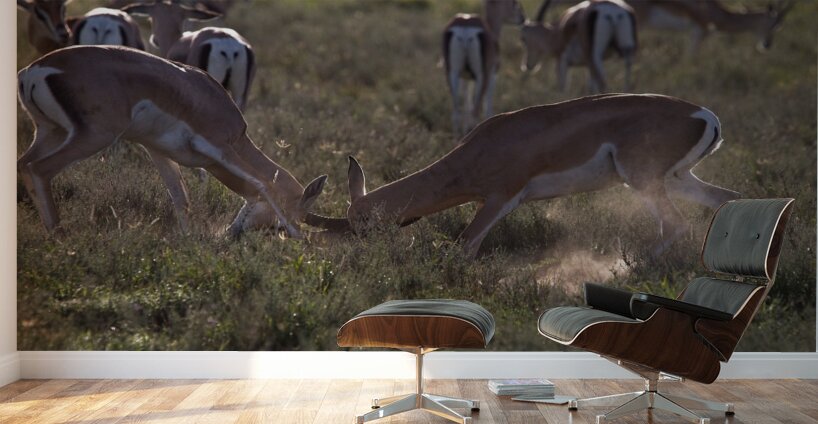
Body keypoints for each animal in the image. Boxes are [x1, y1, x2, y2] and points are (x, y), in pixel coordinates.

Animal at [17, 46, 327, 238]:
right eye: (299, 212)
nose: (232, 233)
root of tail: (34, 70)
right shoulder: (220, 146)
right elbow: (263, 184)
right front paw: (301, 238)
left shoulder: (157, 149)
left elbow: (181, 196)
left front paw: (187, 240)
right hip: (93, 135)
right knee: (40, 169)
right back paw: (60, 235)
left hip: (51, 132)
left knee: (24, 164)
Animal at [312, 94, 738, 258]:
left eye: (363, 225)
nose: (366, 257)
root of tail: (706, 115)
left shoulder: (501, 197)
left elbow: (464, 245)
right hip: (677, 179)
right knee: (725, 199)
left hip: (643, 180)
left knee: (677, 224)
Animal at [443, 0, 525, 138]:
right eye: (514, 2)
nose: (522, 18)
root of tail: (466, 26)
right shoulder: (492, 74)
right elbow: (488, 107)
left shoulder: (465, 77)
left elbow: (467, 103)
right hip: (482, 76)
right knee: (475, 112)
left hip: (452, 73)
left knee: (456, 113)